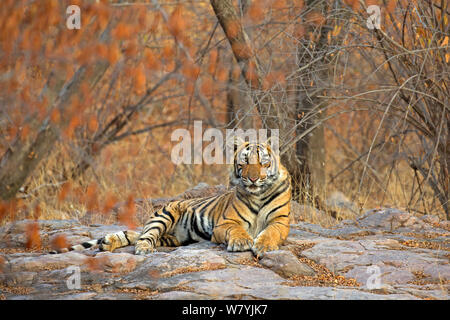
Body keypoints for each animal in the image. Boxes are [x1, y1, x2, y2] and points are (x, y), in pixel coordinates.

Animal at [53, 141, 292, 256]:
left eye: (263, 163)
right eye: (244, 162)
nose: (253, 178)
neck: (258, 193)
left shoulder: (279, 222)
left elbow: (270, 232)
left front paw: (263, 246)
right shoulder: (225, 223)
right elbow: (237, 230)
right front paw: (242, 242)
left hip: (174, 237)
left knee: (138, 236)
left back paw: (107, 243)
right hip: (163, 215)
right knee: (144, 236)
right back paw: (138, 248)